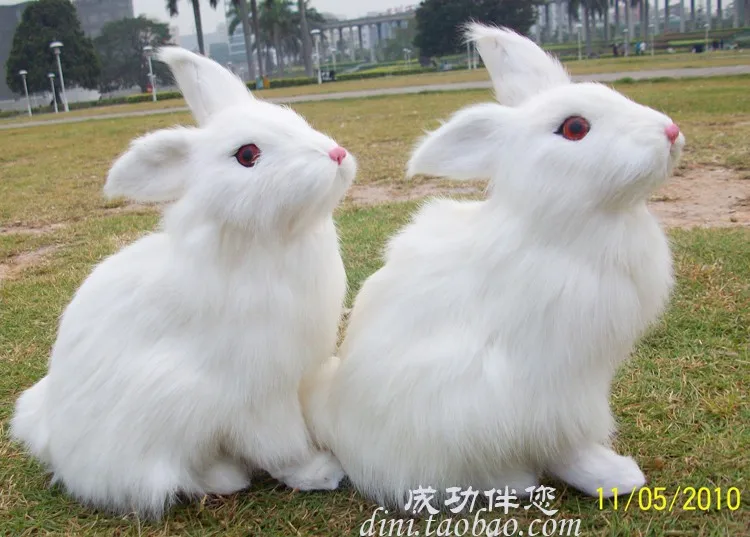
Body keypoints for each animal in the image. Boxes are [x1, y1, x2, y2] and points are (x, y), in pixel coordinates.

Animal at [10, 47, 356, 519]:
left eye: (293, 119)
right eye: (247, 155)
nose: (337, 154)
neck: (268, 242)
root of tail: (59, 449)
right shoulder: (258, 393)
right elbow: (282, 446)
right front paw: (321, 472)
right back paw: (226, 476)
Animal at [301, 23, 685, 511]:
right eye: (575, 127)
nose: (671, 131)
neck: (561, 223)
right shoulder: (555, 387)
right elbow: (567, 443)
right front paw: (614, 477)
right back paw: (515, 481)